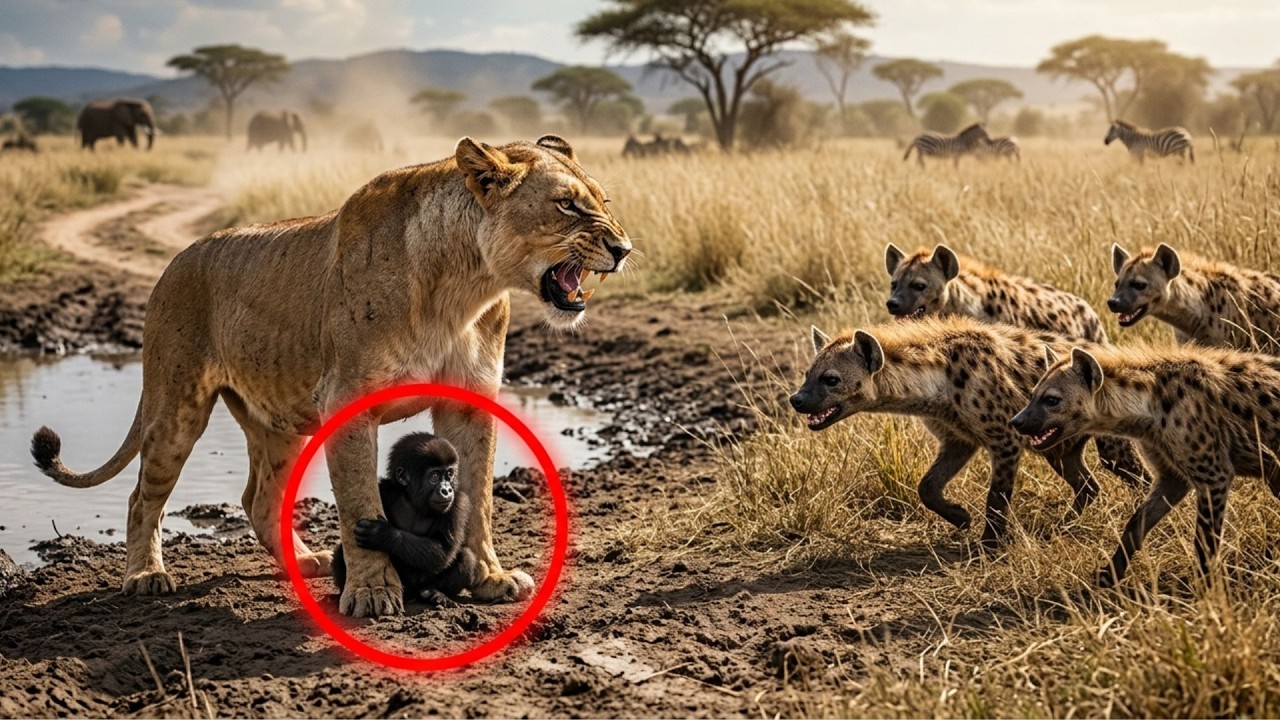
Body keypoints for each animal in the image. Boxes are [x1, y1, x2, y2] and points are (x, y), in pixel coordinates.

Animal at [30, 134, 631, 617]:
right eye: (566, 205)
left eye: (603, 202)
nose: (624, 249)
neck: (464, 286)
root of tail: (174, 261)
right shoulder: (348, 399)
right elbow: (360, 500)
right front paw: (371, 593)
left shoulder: (468, 399)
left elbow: (478, 494)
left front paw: (489, 578)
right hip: (177, 404)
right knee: (142, 497)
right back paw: (146, 575)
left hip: (278, 421)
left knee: (259, 498)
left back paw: (305, 561)